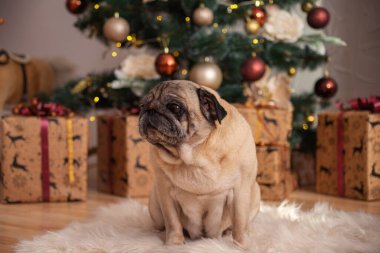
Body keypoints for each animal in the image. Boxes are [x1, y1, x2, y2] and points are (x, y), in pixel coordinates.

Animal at [140, 80, 262, 248]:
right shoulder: (165, 192)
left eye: (175, 107)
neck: (195, 154)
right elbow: (172, 221)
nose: (150, 110)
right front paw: (174, 244)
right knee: (161, 223)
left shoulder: (240, 191)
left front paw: (241, 246)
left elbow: (240, 222)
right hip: (154, 205)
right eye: (142, 106)